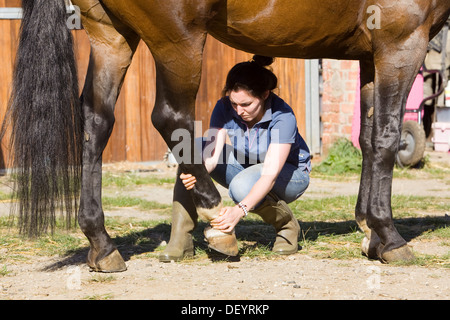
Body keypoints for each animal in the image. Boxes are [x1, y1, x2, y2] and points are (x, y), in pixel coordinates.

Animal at [4, 0, 450, 272]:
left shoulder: (370, 53)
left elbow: (367, 136)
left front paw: (368, 229)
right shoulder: (400, 43)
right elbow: (387, 136)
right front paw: (388, 236)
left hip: (111, 37)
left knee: (97, 123)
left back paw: (102, 244)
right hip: (178, 42)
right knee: (170, 117)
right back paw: (216, 214)